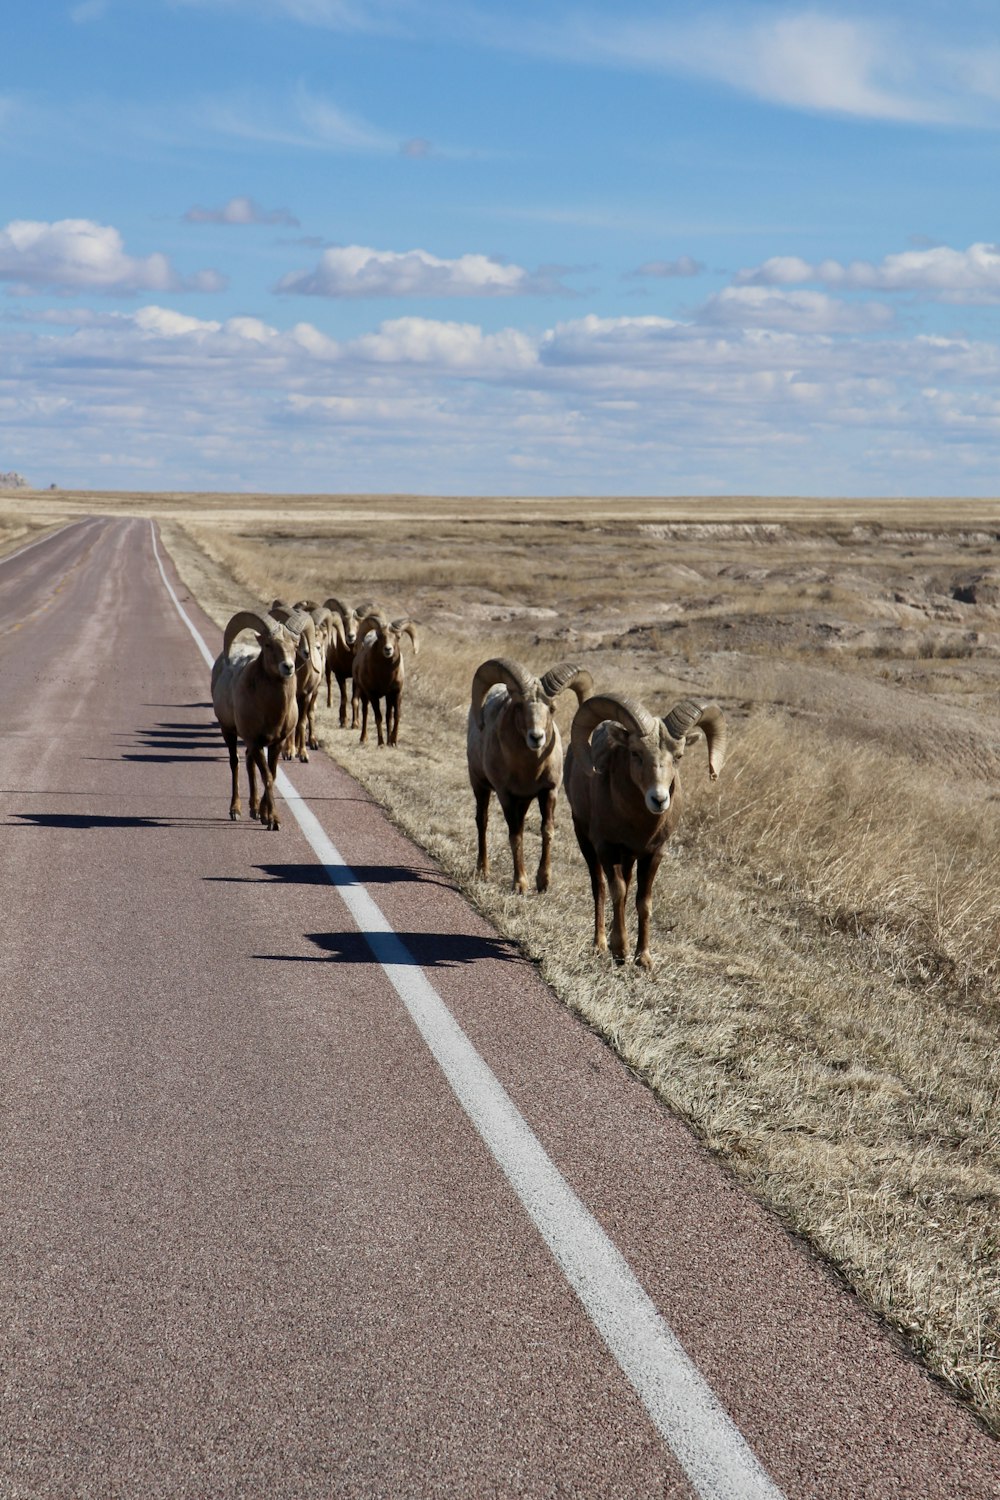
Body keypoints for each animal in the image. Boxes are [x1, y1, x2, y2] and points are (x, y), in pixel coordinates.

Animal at [209, 609, 299, 834]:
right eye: (268, 645)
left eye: (295, 645)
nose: (288, 667)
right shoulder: (256, 742)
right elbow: (267, 776)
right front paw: (274, 821)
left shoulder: (276, 744)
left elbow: (271, 775)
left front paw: (266, 815)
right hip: (228, 732)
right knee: (235, 763)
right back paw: (236, 810)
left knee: (249, 763)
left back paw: (255, 809)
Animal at [352, 612, 419, 747]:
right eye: (380, 636)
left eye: (398, 637)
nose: (388, 649)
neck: (385, 677)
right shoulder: (372, 694)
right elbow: (378, 717)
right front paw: (381, 743)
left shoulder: (396, 693)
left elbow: (396, 716)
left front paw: (393, 741)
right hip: (363, 693)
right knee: (365, 713)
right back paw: (363, 739)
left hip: (388, 697)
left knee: (389, 716)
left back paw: (388, 741)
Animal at [470, 657, 593, 888]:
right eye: (519, 705)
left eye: (552, 708)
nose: (536, 737)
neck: (529, 771)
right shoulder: (506, 795)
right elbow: (515, 836)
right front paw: (520, 884)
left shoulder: (548, 792)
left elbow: (547, 831)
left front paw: (543, 882)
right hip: (479, 785)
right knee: (482, 821)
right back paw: (483, 870)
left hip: (524, 801)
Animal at [563, 693, 728, 966]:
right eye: (635, 753)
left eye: (679, 756)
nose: (658, 800)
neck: (639, 824)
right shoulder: (606, 847)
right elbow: (617, 891)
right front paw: (620, 950)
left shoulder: (653, 854)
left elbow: (643, 902)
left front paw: (644, 958)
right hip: (584, 839)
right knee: (599, 887)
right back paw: (600, 944)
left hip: (628, 857)